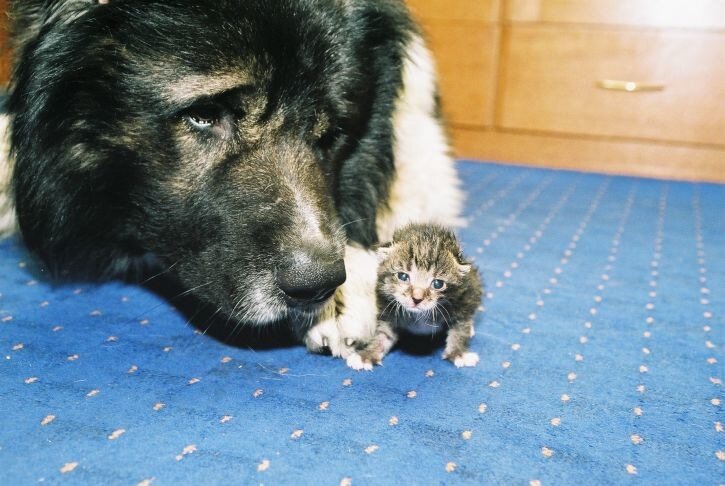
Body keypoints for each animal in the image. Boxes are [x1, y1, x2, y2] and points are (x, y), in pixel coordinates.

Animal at [350, 223, 480, 368]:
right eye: (402, 276)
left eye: (438, 284)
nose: (417, 299)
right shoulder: (388, 309)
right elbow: (383, 334)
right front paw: (368, 355)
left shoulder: (462, 300)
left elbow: (460, 329)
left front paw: (458, 353)